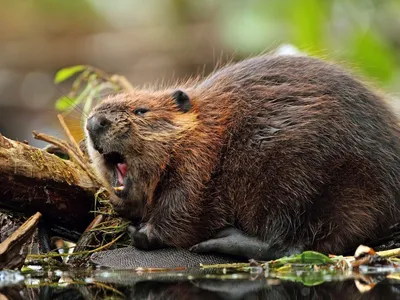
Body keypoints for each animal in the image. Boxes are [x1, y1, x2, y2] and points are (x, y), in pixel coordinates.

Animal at [86, 54, 400, 260]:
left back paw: (219, 241)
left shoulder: (197, 166)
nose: (93, 122)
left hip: (299, 178)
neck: (205, 129)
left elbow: (182, 210)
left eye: (141, 110)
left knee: (289, 244)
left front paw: (141, 232)